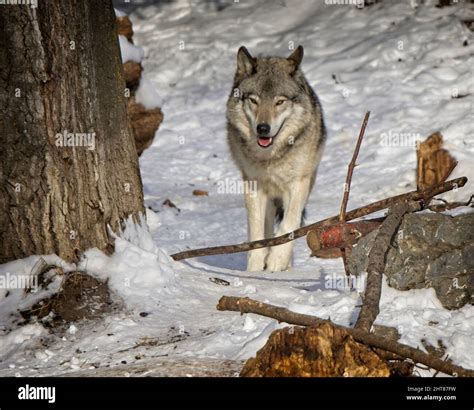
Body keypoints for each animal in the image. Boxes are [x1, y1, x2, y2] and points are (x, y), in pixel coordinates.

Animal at [226, 45, 326, 272]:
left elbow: (289, 223)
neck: (271, 158)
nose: (263, 128)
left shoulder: (298, 184)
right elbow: (256, 232)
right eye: (254, 100)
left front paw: (277, 260)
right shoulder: (253, 185)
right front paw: (255, 268)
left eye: (279, 102)